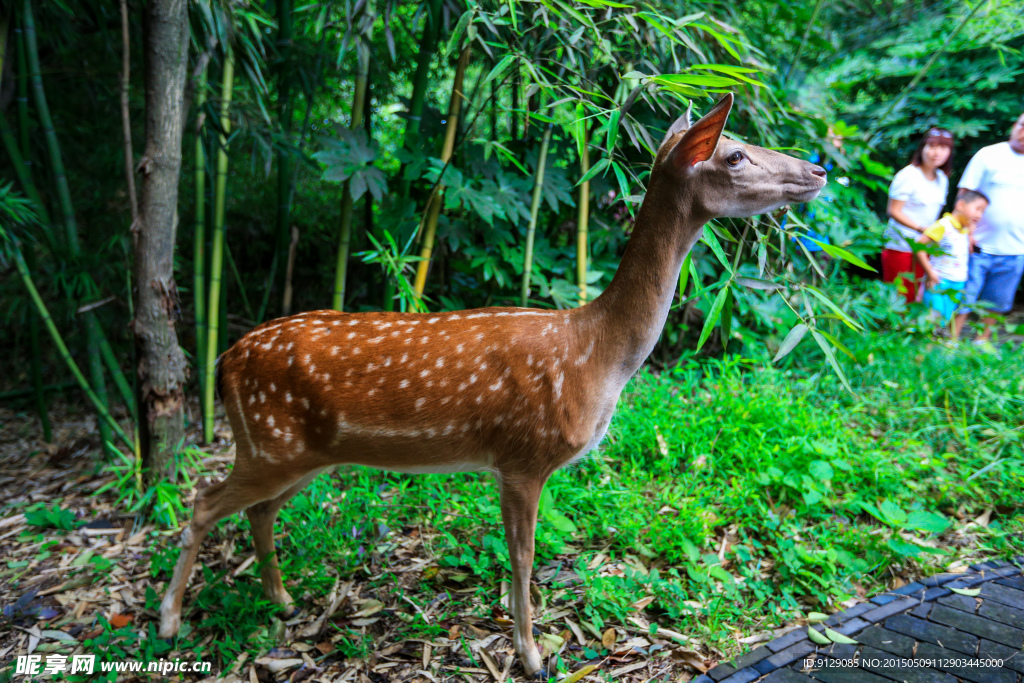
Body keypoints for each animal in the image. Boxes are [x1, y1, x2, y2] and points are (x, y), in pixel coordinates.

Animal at [161, 94, 831, 679]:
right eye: (734, 154)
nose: (819, 169)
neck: (596, 355)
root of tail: (222, 361)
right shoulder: (523, 455)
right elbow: (523, 558)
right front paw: (533, 659)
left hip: (300, 452)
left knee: (257, 509)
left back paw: (282, 601)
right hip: (270, 442)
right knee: (202, 502)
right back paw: (169, 622)